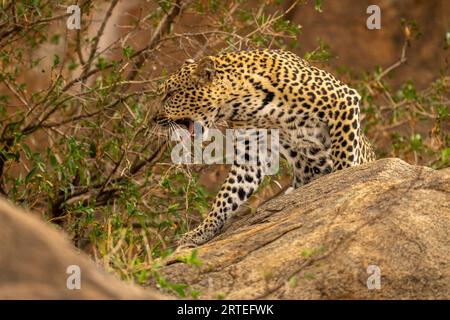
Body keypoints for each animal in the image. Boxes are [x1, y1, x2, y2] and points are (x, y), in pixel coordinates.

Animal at [156, 48, 376, 248]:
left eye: (170, 94)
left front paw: (342, 183)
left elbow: (344, 154)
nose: (154, 119)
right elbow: (227, 195)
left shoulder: (342, 101)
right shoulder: (251, 155)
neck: (241, 100)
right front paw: (200, 232)